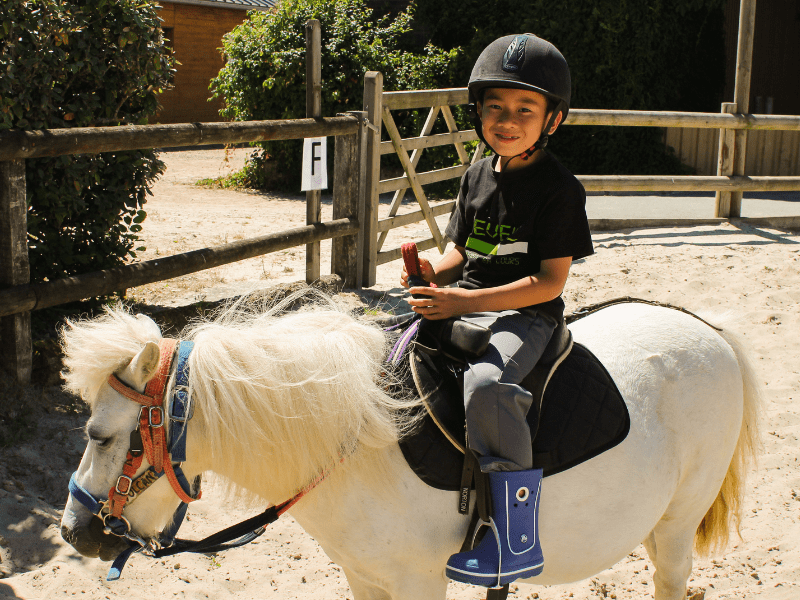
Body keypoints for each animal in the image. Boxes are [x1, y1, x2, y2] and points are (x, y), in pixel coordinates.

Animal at [59, 294, 760, 600]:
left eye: (101, 435)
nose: (72, 532)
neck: (357, 448)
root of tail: (708, 327)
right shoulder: (365, 578)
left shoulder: (419, 585)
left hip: (676, 525)